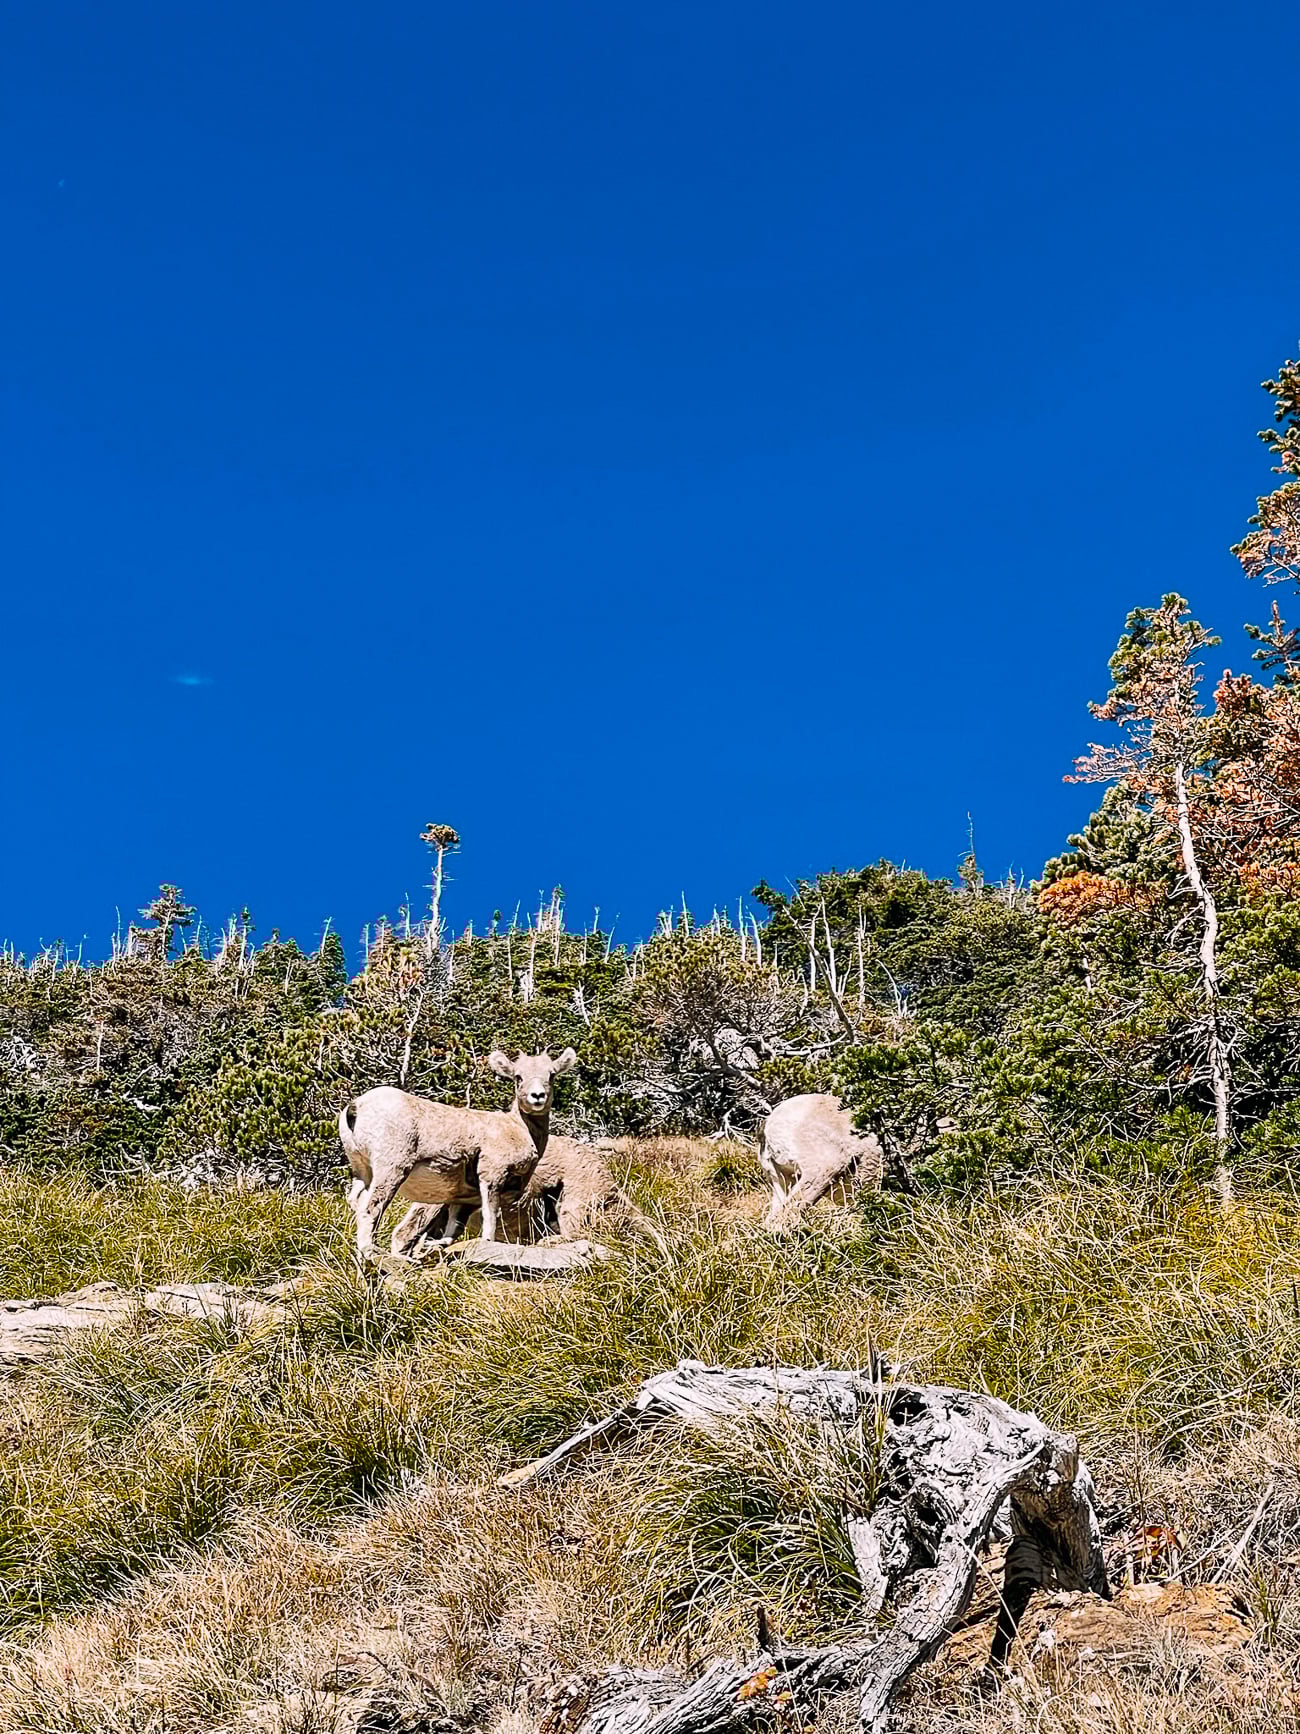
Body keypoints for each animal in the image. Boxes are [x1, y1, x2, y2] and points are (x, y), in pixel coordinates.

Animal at [337, 1047, 578, 1258]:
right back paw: (370, 1251)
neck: (518, 1129)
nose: (537, 1096)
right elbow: (490, 1221)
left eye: (551, 1075)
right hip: (391, 1170)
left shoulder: (464, 1200)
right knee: (370, 1209)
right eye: (518, 1077)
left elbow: (452, 1231)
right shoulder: (491, 1178)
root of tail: (356, 1107)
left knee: (357, 1202)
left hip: (362, 1170)